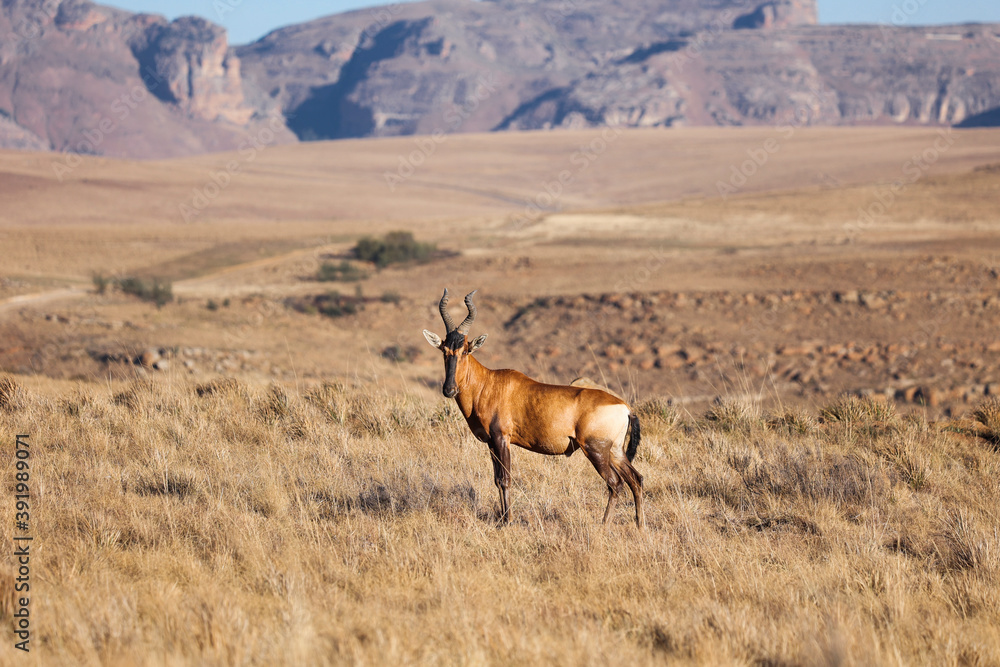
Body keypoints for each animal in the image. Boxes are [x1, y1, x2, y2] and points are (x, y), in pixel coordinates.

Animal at [423, 289, 644, 528]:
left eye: (465, 350)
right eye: (444, 350)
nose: (449, 389)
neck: (488, 383)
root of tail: (625, 408)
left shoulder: (502, 438)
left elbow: (505, 479)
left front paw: (507, 521)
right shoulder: (491, 443)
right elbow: (497, 479)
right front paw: (502, 518)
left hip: (596, 450)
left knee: (615, 483)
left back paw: (604, 525)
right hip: (615, 451)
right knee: (636, 479)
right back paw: (640, 526)